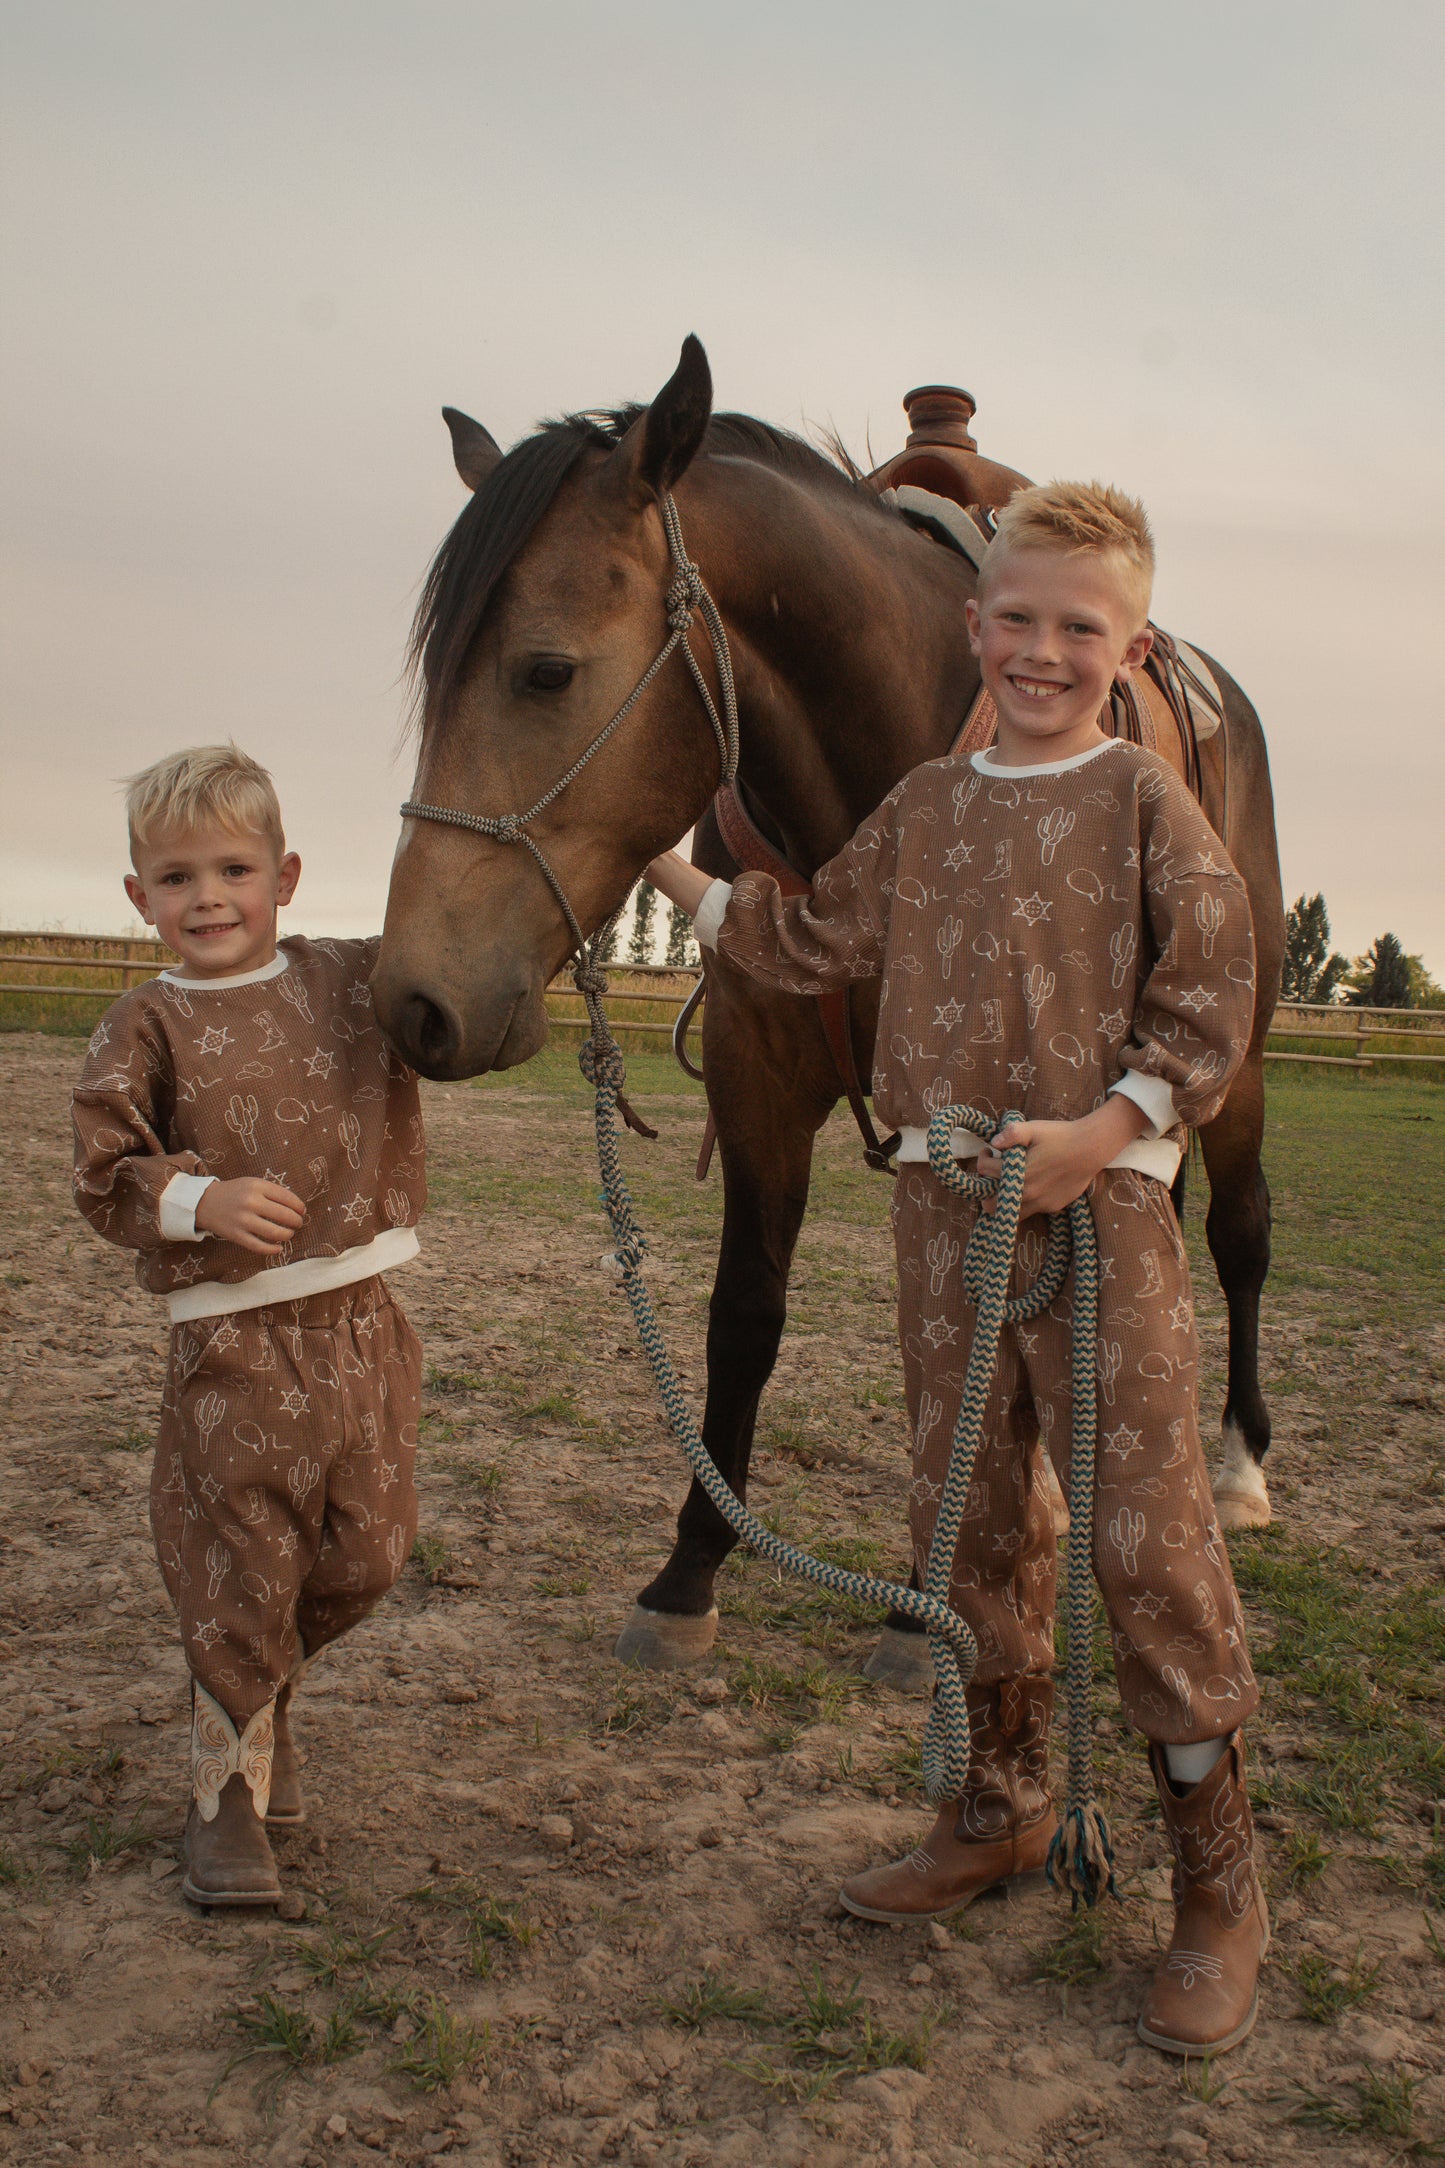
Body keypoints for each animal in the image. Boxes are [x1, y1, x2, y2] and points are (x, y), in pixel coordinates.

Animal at [376, 333, 1291, 1673]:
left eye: (545, 669)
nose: (413, 1000)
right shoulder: (757, 1069)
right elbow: (743, 1311)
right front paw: (689, 1570)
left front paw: (934, 1603)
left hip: (1231, 1061)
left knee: (1236, 1235)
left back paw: (1233, 1469)